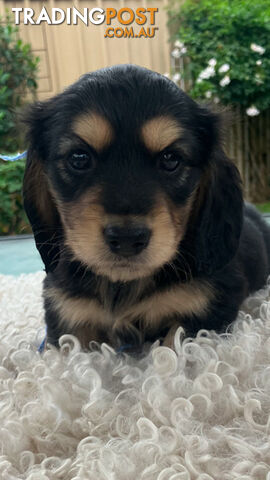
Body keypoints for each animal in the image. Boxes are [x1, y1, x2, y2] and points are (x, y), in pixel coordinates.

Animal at [22, 63, 270, 350]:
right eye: (79, 157)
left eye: (171, 158)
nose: (127, 239)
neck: (123, 285)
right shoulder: (66, 315)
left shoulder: (210, 306)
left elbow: (175, 347)